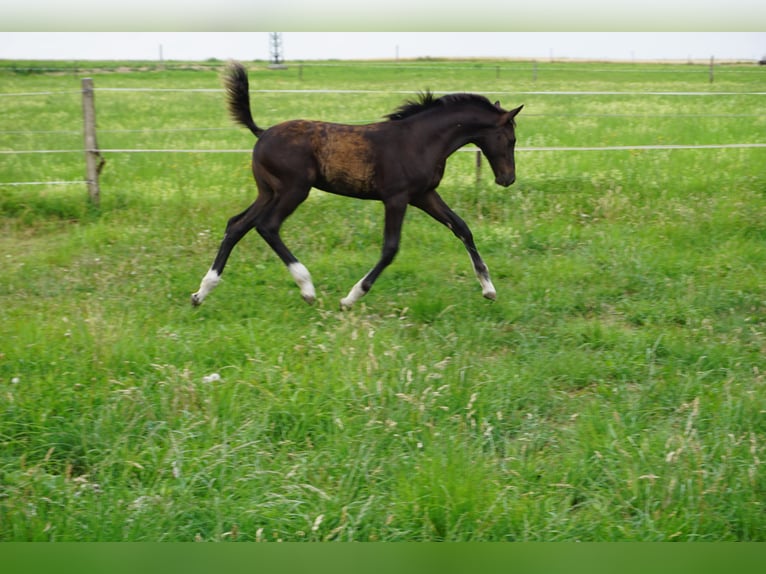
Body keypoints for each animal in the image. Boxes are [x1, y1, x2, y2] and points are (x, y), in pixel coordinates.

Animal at [195, 62, 524, 310]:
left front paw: (489, 289)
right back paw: (307, 288)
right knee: (267, 225)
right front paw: (350, 298)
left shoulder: (424, 195)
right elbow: (390, 248)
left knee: (237, 225)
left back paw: (201, 292)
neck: (420, 141)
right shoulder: (396, 198)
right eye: (510, 139)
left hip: (268, 191)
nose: (507, 178)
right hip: (293, 190)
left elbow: (462, 227)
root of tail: (261, 132)